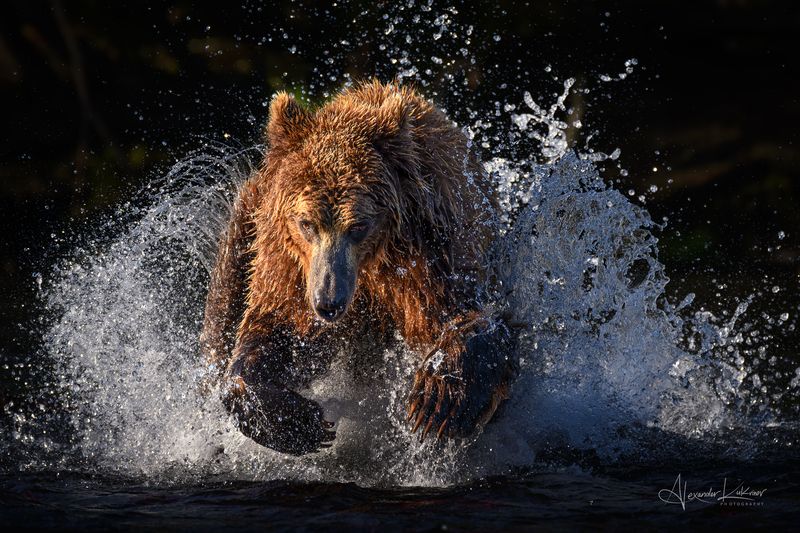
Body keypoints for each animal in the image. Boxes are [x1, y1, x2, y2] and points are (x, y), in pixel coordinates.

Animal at [200, 80, 517, 455]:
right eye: (306, 223)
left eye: (359, 226)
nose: (328, 302)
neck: (371, 266)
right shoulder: (288, 264)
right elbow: (279, 333)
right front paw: (301, 422)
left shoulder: (431, 253)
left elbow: (467, 318)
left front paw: (436, 400)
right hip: (245, 227)